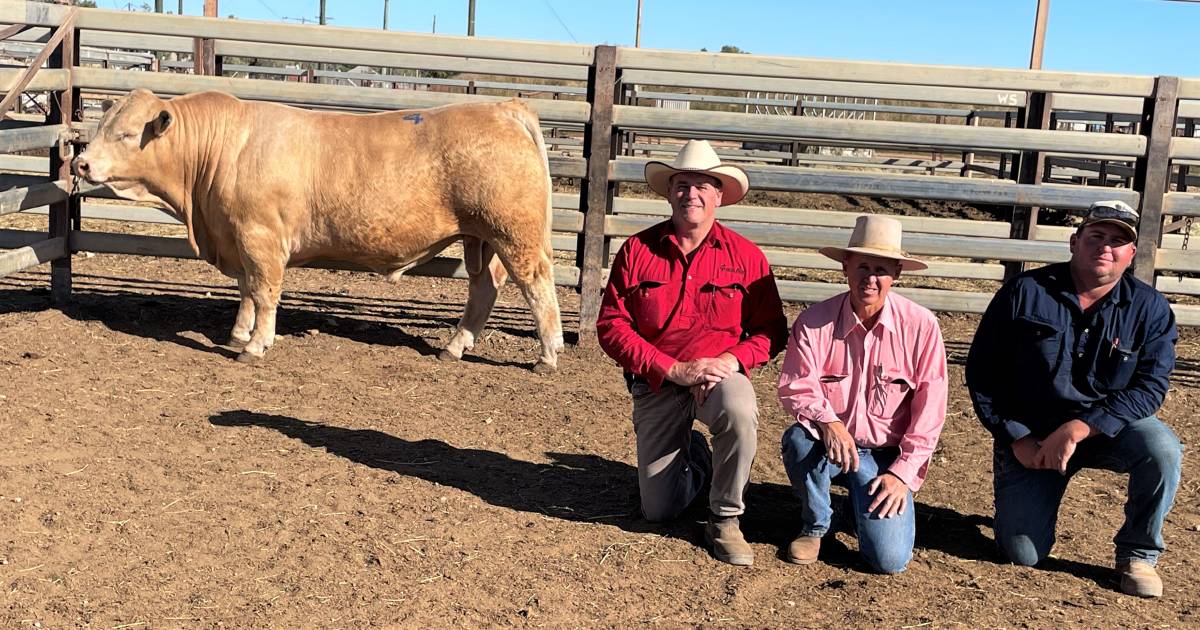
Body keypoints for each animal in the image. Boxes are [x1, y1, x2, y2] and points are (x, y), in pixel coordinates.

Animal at [73, 90, 561, 372]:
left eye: (127, 134)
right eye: (101, 126)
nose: (80, 163)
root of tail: (504, 109)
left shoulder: (260, 237)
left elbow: (264, 291)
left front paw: (255, 345)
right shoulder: (239, 238)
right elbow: (246, 290)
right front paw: (239, 333)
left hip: (513, 232)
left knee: (537, 284)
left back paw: (548, 354)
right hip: (482, 238)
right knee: (484, 290)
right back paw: (454, 346)